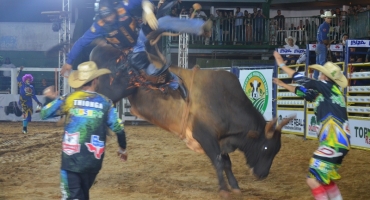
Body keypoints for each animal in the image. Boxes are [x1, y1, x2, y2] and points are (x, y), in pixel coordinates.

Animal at [88, 44, 294, 196]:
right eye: (266, 148)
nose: (262, 175)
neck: (225, 101)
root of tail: (102, 49)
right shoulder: (205, 136)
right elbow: (219, 161)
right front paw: (223, 189)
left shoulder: (219, 139)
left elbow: (226, 162)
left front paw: (234, 186)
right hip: (111, 90)